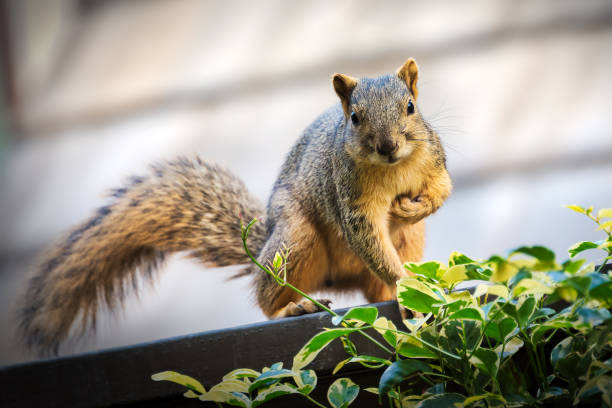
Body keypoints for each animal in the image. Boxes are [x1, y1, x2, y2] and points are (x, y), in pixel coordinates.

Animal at [16, 57, 452, 354]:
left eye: (410, 106)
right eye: (356, 117)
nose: (388, 146)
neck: (393, 168)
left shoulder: (433, 160)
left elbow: (442, 190)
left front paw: (410, 209)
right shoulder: (350, 198)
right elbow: (364, 235)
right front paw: (406, 286)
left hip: (407, 243)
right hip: (295, 240)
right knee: (267, 297)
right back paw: (290, 308)